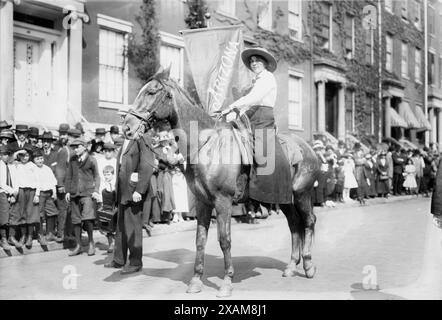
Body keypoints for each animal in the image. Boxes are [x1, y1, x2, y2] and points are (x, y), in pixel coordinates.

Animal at [122, 67, 320, 298]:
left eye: (152, 92)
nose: (127, 128)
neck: (207, 145)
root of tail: (308, 148)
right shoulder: (203, 202)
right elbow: (200, 240)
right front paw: (196, 281)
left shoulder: (223, 201)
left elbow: (224, 240)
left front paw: (227, 282)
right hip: (285, 199)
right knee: (294, 224)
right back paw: (290, 266)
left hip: (302, 194)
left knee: (309, 221)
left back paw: (308, 266)